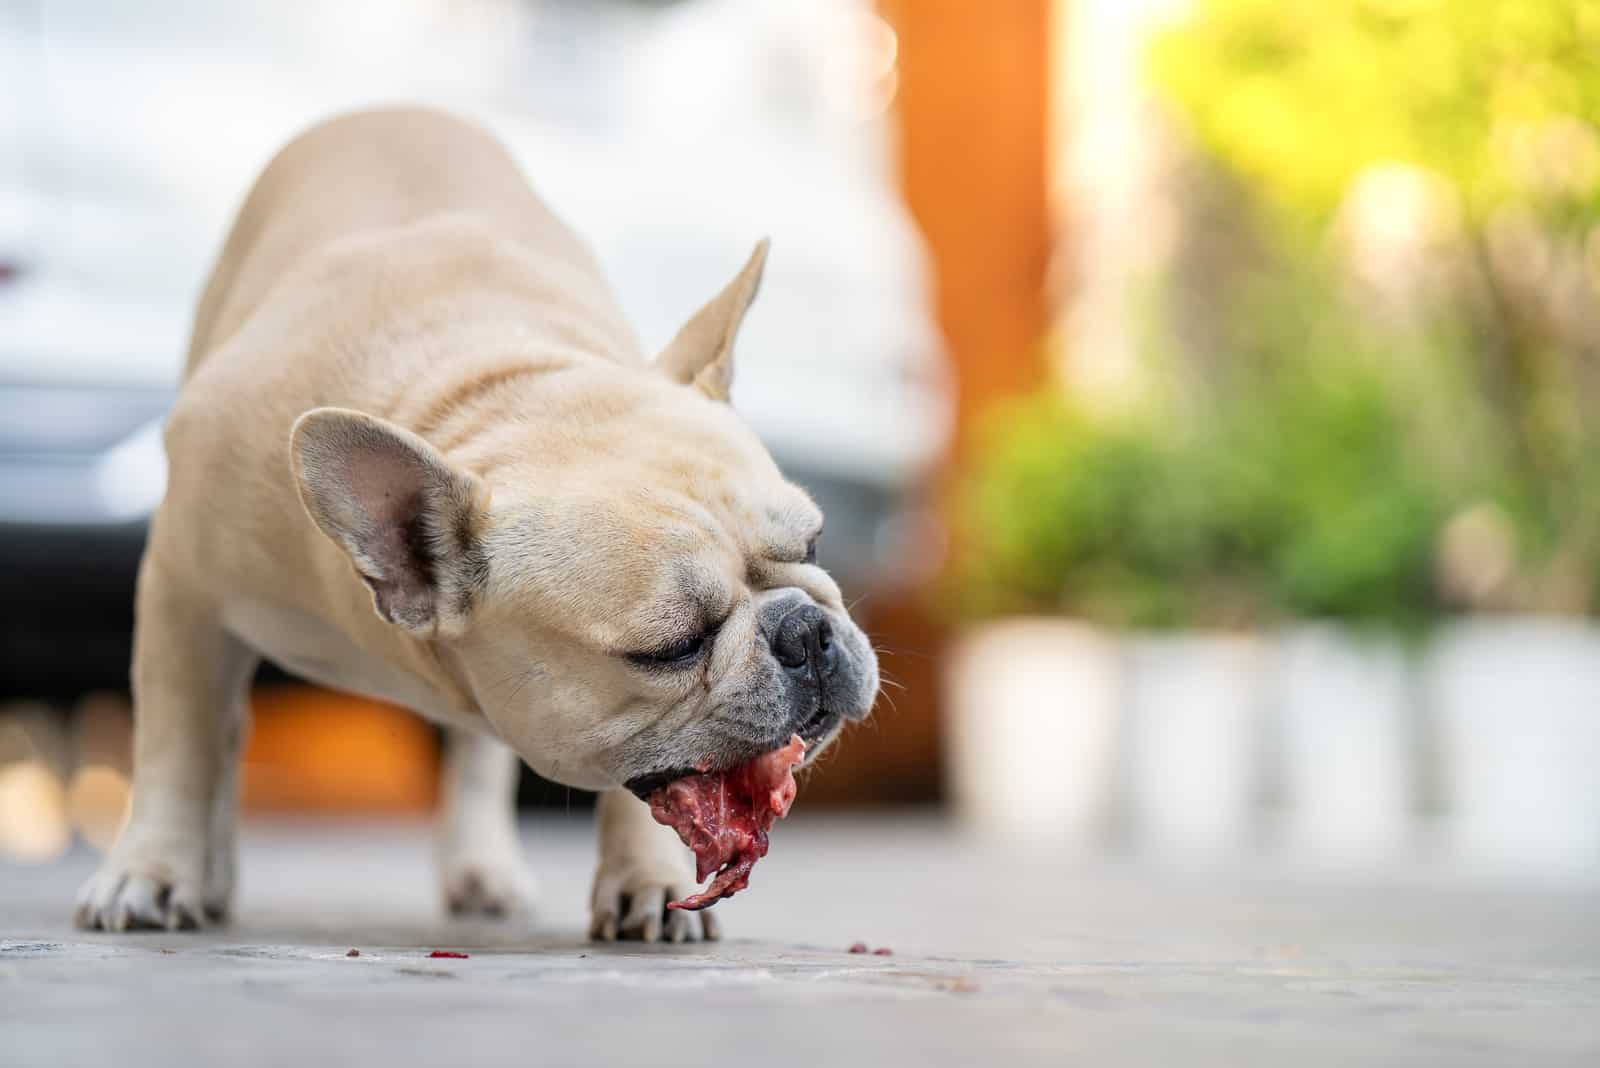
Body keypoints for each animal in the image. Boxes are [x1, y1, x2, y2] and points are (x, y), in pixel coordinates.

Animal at [72, 110, 876, 940]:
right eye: (670, 647)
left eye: (813, 544)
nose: (807, 631)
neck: (487, 391)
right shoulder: (181, 588)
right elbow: (176, 747)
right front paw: (151, 871)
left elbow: (641, 781)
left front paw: (647, 883)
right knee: (223, 736)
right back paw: (211, 877)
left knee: (476, 758)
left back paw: (480, 868)